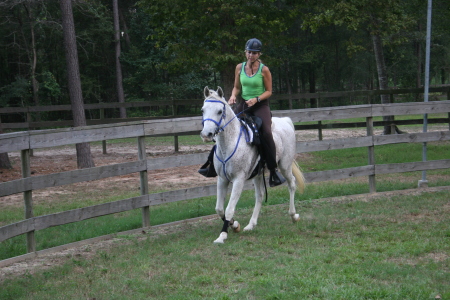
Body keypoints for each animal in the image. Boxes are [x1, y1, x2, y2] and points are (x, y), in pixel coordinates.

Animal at [201, 86, 304, 244]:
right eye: (203, 110)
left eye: (219, 111)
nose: (206, 134)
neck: (229, 144)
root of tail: (285, 121)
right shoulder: (222, 179)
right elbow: (219, 208)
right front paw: (234, 225)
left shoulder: (239, 180)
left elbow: (229, 208)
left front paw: (222, 235)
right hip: (258, 174)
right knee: (260, 195)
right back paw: (251, 224)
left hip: (285, 165)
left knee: (291, 184)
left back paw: (293, 215)